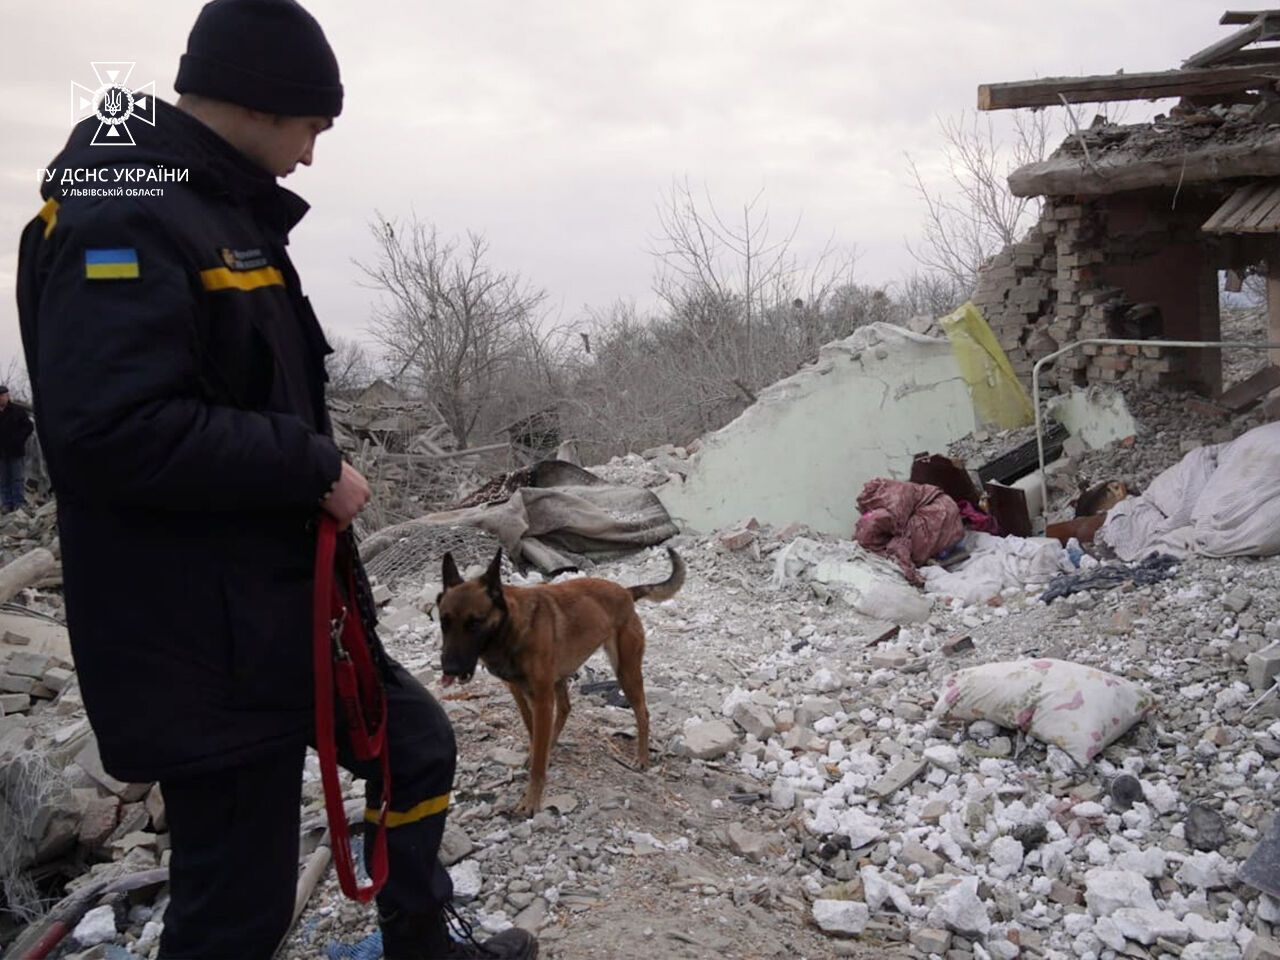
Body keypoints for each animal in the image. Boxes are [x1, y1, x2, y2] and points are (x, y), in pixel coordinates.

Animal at [437, 547, 686, 819]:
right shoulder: (520, 692)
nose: (449, 669)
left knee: (642, 712)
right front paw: (539, 753)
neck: (509, 628)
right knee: (566, 707)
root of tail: (625, 592)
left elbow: (537, 759)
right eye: (444, 622)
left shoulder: (542, 698)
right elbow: (533, 731)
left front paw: (531, 800)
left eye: (474, 623)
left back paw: (642, 758)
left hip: (626, 672)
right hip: (561, 676)